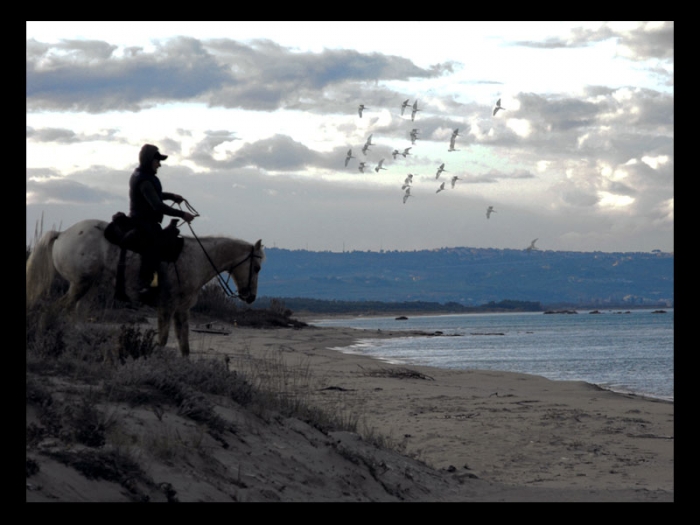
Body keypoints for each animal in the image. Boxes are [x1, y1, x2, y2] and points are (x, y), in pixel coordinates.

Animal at [26, 217, 264, 356]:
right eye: (257, 267)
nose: (250, 296)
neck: (196, 258)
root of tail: (62, 234)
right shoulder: (166, 306)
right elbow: (163, 340)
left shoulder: (182, 310)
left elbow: (184, 346)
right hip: (79, 285)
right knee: (52, 310)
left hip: (87, 288)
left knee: (74, 315)